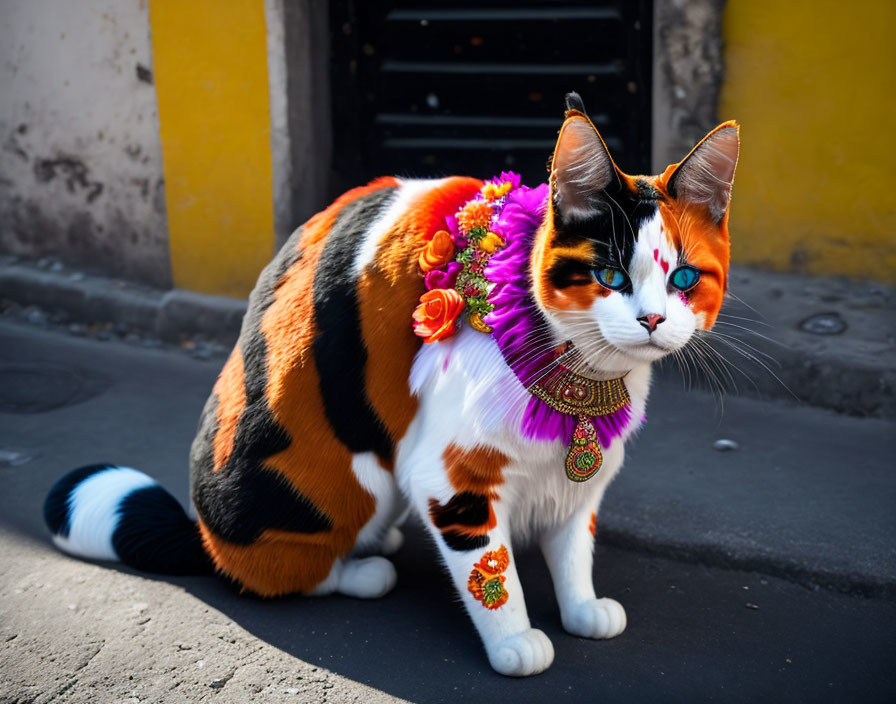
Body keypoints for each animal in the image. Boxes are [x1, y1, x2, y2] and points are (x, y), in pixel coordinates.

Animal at [45, 95, 740, 676]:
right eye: (609, 275)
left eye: (682, 278)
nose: (652, 320)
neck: (578, 373)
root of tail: (205, 535)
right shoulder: (447, 476)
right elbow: (492, 572)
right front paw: (515, 641)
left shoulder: (578, 482)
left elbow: (573, 546)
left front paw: (581, 607)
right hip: (358, 478)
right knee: (279, 574)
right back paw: (363, 572)